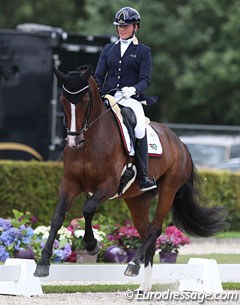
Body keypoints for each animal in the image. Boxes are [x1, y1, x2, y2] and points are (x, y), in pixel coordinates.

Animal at [33, 64, 225, 290]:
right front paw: (43, 264)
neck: (90, 142)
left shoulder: (108, 185)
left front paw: (91, 245)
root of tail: (181, 143)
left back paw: (133, 265)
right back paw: (143, 286)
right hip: (137, 199)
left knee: (154, 229)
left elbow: (87, 209)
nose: (74, 141)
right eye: (63, 100)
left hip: (169, 189)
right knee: (146, 232)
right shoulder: (70, 183)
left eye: (85, 101)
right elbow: (57, 217)